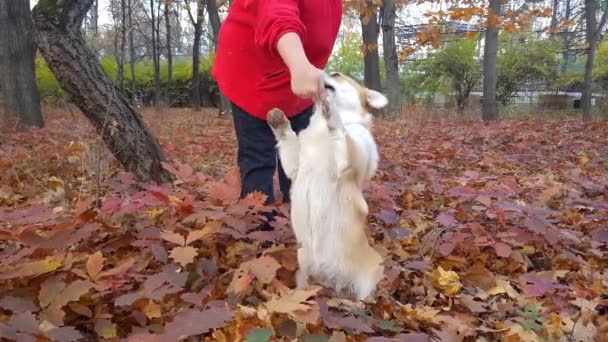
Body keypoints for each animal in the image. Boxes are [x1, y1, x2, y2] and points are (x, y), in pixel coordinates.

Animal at [268, 71, 390, 300]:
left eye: (336, 74)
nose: (319, 72)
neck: (320, 129)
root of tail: (336, 286)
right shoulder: (295, 167)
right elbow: (288, 140)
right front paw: (279, 121)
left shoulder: (347, 162)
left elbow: (341, 132)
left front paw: (331, 111)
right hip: (303, 275)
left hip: (369, 280)